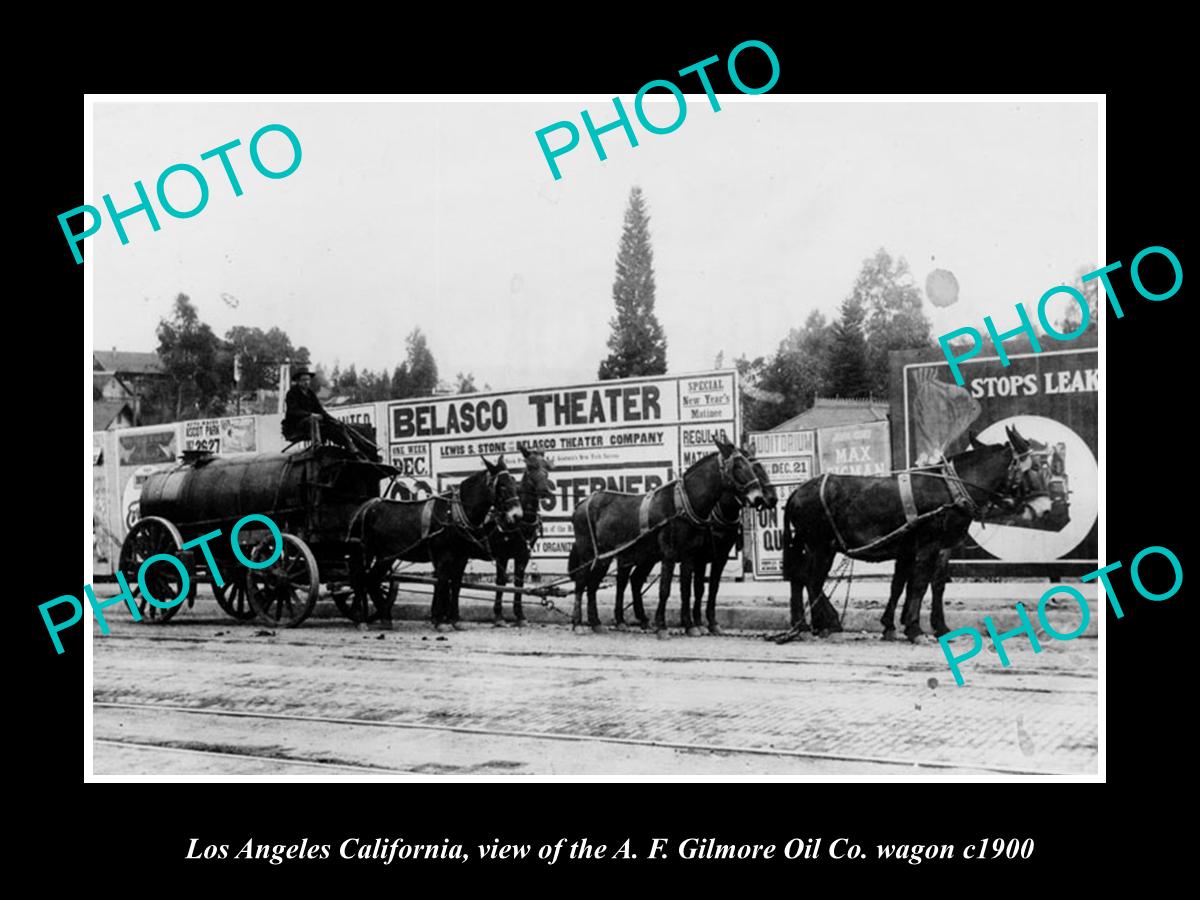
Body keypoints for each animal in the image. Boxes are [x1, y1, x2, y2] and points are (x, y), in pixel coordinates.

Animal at [345, 453, 518, 628]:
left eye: (513, 482)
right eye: (502, 486)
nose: (517, 515)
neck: (452, 513)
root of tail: (365, 507)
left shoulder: (461, 557)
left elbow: (455, 584)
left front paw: (454, 620)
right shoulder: (443, 556)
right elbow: (442, 582)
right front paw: (440, 620)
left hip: (385, 556)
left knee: (371, 580)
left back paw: (385, 618)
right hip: (365, 551)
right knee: (360, 579)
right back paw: (361, 619)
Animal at [487, 444, 556, 628]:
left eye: (547, 467)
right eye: (530, 466)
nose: (545, 491)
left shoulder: (524, 554)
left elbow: (519, 582)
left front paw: (520, 615)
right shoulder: (502, 555)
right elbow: (501, 581)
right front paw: (498, 615)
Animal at [568, 441, 758, 638]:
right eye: (738, 466)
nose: (757, 496)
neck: (682, 505)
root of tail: (581, 504)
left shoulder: (690, 556)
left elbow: (686, 590)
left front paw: (690, 626)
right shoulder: (670, 554)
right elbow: (665, 589)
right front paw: (662, 626)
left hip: (607, 557)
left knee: (594, 584)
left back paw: (596, 623)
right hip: (590, 553)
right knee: (582, 582)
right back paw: (578, 622)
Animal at [619, 453, 777, 638]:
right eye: (754, 469)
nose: (772, 499)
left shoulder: (719, 557)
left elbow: (710, 588)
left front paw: (708, 623)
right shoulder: (699, 558)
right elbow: (698, 588)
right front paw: (697, 622)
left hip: (648, 557)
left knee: (636, 579)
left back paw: (643, 620)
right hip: (627, 556)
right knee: (622, 580)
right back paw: (620, 619)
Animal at [777, 427, 1041, 643]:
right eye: (1037, 466)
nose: (1040, 506)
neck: (950, 488)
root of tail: (796, 492)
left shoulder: (932, 547)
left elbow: (923, 584)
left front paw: (928, 626)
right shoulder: (927, 545)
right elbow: (919, 584)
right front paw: (914, 628)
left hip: (811, 544)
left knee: (799, 578)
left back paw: (803, 625)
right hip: (820, 545)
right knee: (812, 579)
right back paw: (827, 623)